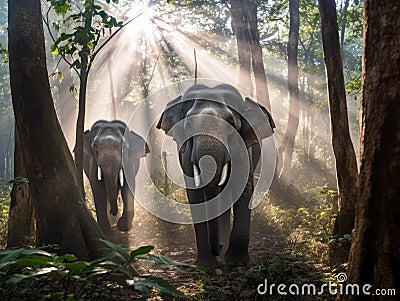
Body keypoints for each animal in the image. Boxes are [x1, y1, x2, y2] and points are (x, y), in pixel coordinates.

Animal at [156, 83, 276, 266]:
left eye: (231, 123)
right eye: (188, 125)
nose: (218, 248)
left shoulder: (243, 148)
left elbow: (243, 188)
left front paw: (237, 262)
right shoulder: (186, 154)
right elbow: (195, 195)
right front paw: (206, 265)